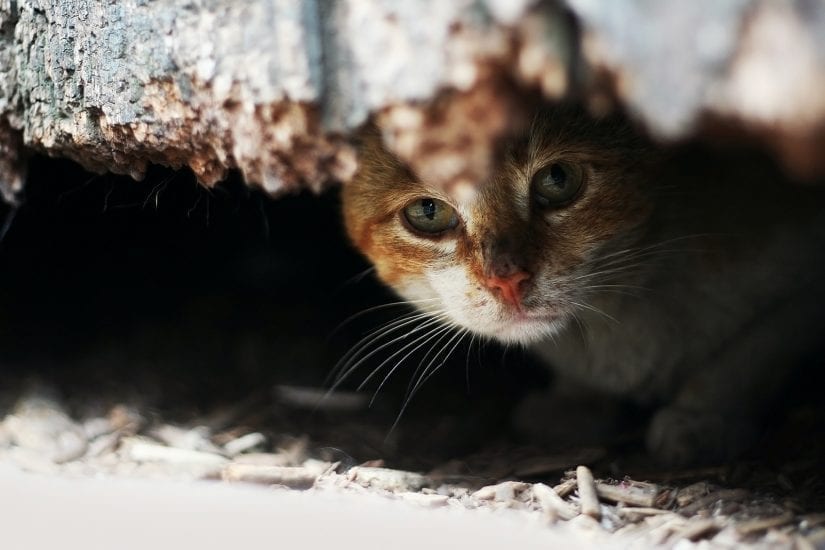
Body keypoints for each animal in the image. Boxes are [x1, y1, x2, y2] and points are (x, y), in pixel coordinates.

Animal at [336, 106, 824, 466]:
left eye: (558, 179)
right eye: (427, 212)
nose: (506, 280)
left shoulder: (799, 288)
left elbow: (747, 357)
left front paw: (704, 417)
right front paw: (577, 400)